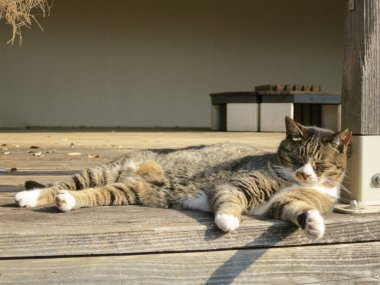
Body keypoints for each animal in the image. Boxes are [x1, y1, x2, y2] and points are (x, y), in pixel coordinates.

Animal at [16, 117, 352, 240]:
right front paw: (228, 220)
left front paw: (314, 225)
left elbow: (298, 210)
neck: (291, 182)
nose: (304, 174)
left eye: (319, 164)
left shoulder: (283, 204)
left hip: (131, 190)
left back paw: (67, 202)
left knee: (92, 194)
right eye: (295, 158)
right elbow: (230, 198)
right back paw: (30, 196)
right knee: (65, 184)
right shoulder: (239, 183)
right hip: (104, 170)